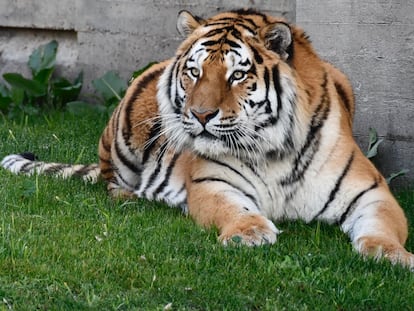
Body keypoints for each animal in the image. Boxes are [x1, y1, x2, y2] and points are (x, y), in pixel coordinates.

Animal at [1, 7, 412, 270]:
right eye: (195, 72)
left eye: (237, 75)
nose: (200, 115)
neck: (274, 152)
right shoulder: (213, 183)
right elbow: (234, 210)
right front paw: (250, 233)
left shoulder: (372, 191)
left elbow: (384, 227)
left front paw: (394, 256)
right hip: (124, 132)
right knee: (109, 179)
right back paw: (132, 198)